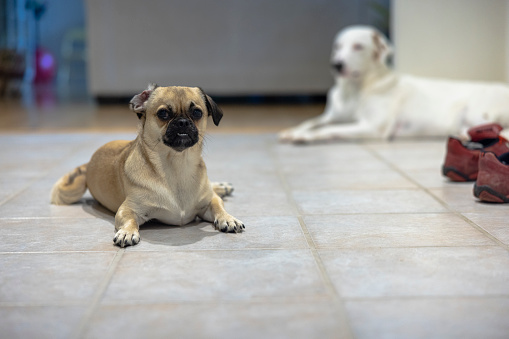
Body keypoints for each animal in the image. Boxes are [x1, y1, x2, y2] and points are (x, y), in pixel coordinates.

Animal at [50, 83, 244, 248]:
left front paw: (228, 219)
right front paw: (127, 232)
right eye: (163, 113)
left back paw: (221, 186)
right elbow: (130, 220)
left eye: (197, 112)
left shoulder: (208, 202)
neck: (177, 165)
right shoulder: (128, 209)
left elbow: (218, 205)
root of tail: (88, 163)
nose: (182, 122)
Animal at [280, 25, 508, 143]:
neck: (355, 91)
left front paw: (304, 136)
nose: (336, 64)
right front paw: (294, 130)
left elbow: (329, 129)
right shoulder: (332, 116)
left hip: (479, 111)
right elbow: (313, 121)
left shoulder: (372, 127)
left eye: (358, 46)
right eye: (338, 46)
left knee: (502, 131)